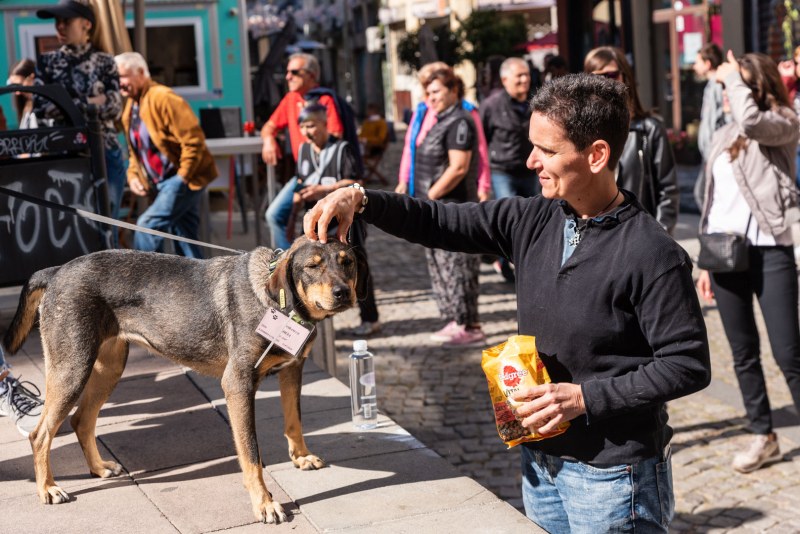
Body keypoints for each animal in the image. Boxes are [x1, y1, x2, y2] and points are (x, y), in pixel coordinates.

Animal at [1, 238, 366, 524]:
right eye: (313, 266)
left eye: (347, 263)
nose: (343, 293)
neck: (276, 301)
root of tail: (57, 270)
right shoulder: (238, 384)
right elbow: (251, 455)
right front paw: (264, 504)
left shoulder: (293, 369)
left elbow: (294, 421)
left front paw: (300, 456)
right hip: (72, 368)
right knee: (41, 434)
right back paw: (48, 488)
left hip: (108, 367)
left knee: (81, 420)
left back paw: (99, 468)